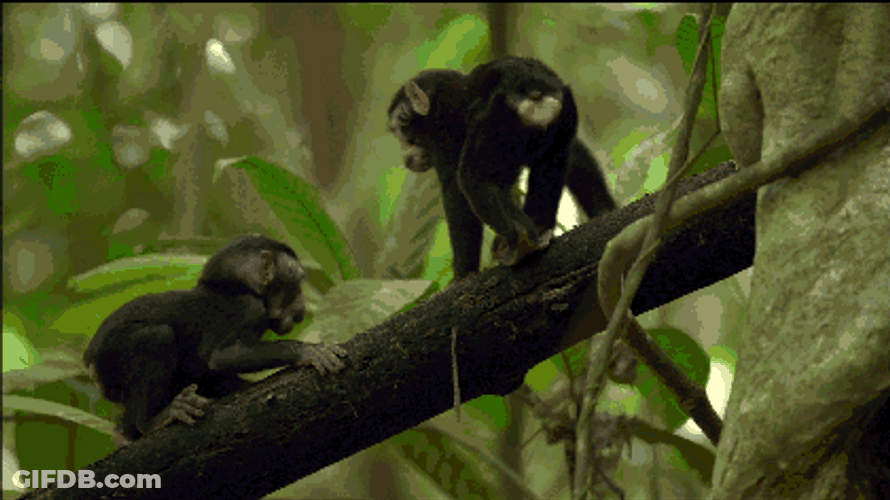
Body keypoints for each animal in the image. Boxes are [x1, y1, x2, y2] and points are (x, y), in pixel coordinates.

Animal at [83, 234, 348, 444]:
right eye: (298, 282)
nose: (302, 307)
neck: (238, 288)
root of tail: (91, 365)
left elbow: (206, 374)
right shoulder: (250, 309)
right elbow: (221, 358)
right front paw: (307, 352)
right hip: (111, 358)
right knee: (156, 337)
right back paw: (150, 421)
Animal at [388, 57, 615, 280]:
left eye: (401, 130)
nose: (405, 156)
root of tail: (534, 90)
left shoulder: (441, 130)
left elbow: (455, 190)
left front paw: (463, 274)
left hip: (497, 117)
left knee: (473, 177)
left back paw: (520, 241)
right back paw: (540, 231)